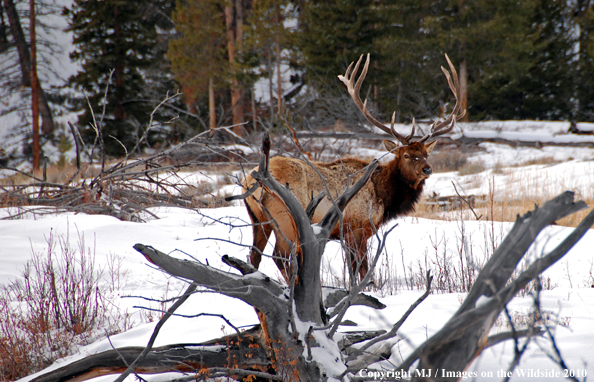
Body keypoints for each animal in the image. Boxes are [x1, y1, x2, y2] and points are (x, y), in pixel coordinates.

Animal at [240, 53, 462, 280]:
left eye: (426, 154)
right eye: (407, 155)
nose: (427, 169)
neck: (383, 196)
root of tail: (249, 180)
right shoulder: (356, 228)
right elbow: (361, 270)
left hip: (258, 220)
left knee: (254, 255)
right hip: (285, 218)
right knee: (281, 255)